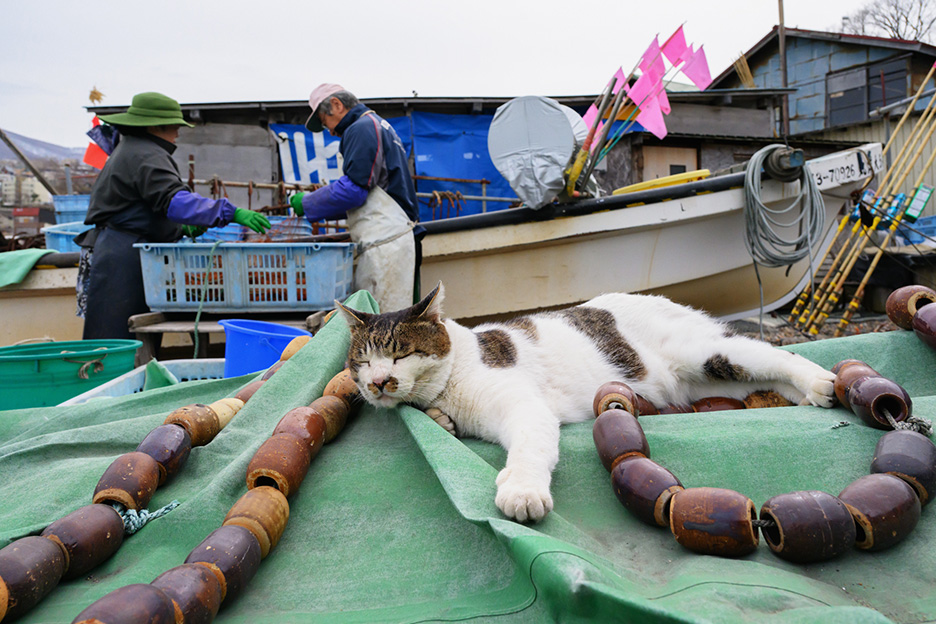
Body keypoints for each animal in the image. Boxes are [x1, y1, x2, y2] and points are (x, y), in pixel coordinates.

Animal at [334, 286, 832, 524]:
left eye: (401, 355)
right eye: (363, 360)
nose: (378, 382)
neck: (451, 379)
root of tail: (668, 300)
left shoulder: (525, 407)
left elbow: (530, 447)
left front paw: (522, 490)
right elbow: (437, 419)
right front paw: (438, 420)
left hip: (706, 353)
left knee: (776, 355)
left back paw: (821, 382)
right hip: (709, 380)